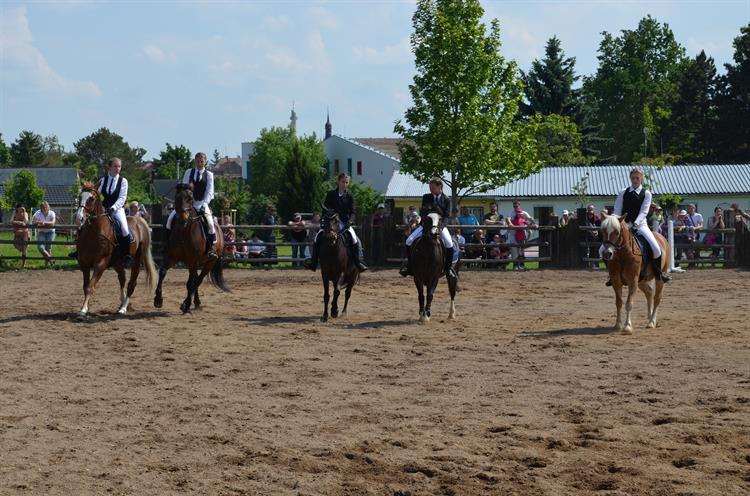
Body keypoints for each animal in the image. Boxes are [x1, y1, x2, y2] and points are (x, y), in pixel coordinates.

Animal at [73, 182, 157, 318]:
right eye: (80, 197)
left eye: (91, 198)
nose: (79, 218)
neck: (94, 233)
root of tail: (140, 221)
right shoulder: (84, 264)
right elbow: (86, 286)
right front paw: (85, 307)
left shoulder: (100, 264)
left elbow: (91, 286)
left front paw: (83, 310)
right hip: (117, 262)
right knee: (122, 279)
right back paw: (122, 303)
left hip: (136, 260)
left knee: (131, 283)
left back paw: (123, 308)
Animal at [154, 182, 231, 314]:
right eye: (177, 197)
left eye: (190, 199)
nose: (183, 220)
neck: (184, 231)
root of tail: (219, 229)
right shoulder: (171, 257)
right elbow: (162, 272)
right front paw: (158, 299)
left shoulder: (192, 261)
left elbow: (190, 284)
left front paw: (186, 306)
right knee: (195, 280)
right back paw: (196, 303)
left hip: (209, 262)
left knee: (197, 280)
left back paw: (189, 304)